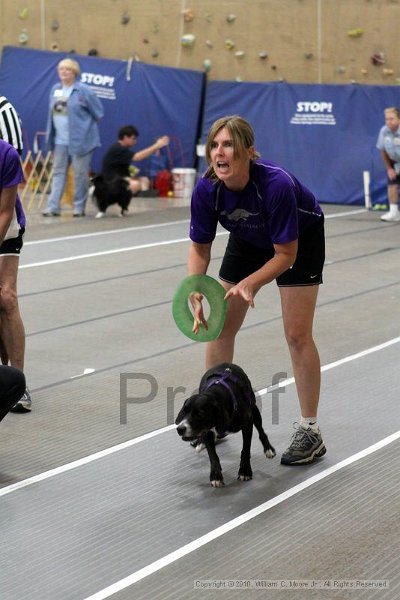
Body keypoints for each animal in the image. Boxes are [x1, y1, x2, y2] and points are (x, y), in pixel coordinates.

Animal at [175, 360, 276, 488]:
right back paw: (200, 442)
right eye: (184, 410)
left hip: (254, 410)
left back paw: (268, 449)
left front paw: (245, 471)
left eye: (200, 414)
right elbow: (213, 456)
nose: (180, 428)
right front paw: (216, 476)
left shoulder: (247, 424)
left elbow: (246, 449)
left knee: (261, 431)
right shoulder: (208, 430)